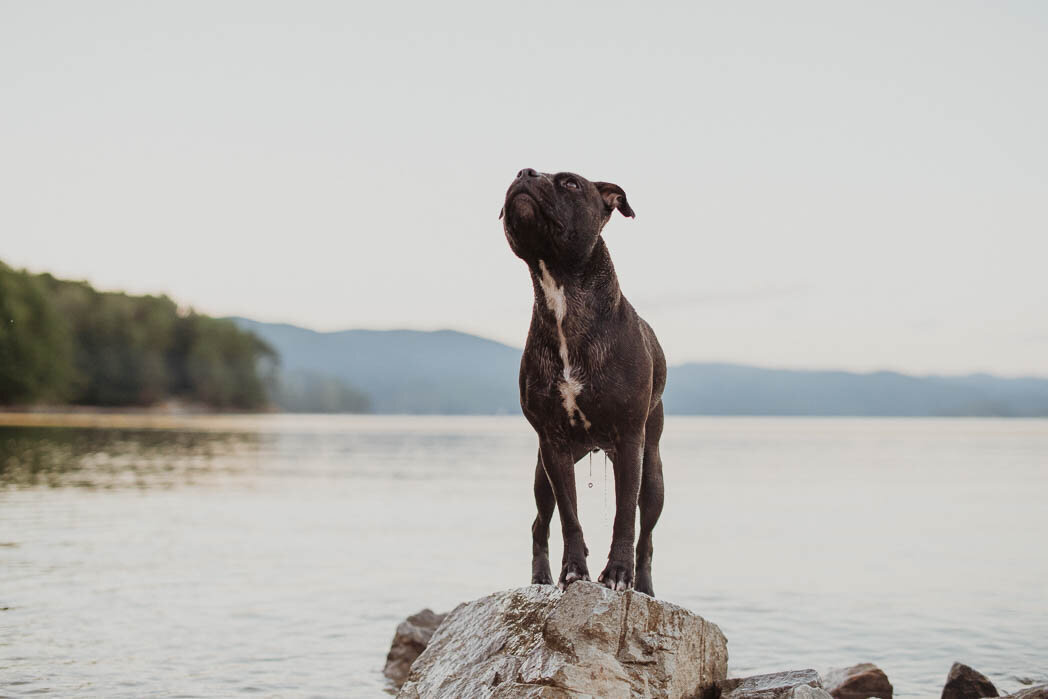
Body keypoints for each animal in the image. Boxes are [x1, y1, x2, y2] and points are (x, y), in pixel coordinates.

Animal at [496, 167, 662, 595]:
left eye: (570, 182)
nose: (525, 171)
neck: (562, 291)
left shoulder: (630, 440)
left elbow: (625, 517)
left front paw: (618, 573)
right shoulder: (552, 444)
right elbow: (569, 517)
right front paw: (573, 570)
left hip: (653, 472)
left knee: (647, 535)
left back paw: (645, 586)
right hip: (543, 474)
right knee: (540, 522)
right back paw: (540, 577)